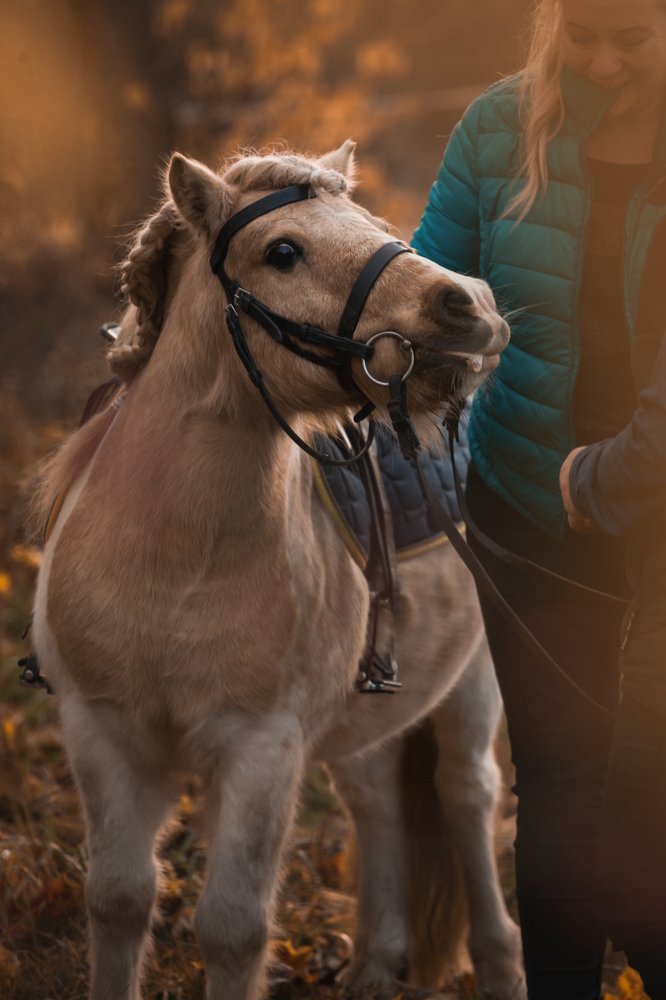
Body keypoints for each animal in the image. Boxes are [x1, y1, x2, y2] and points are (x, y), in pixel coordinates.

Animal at [29, 141, 524, 1000]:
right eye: (283, 252)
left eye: (366, 220)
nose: (471, 304)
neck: (173, 561)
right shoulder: (104, 733)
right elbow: (119, 901)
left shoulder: (262, 749)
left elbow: (232, 929)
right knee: (376, 799)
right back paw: (374, 964)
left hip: (472, 687)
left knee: (467, 799)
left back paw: (496, 965)